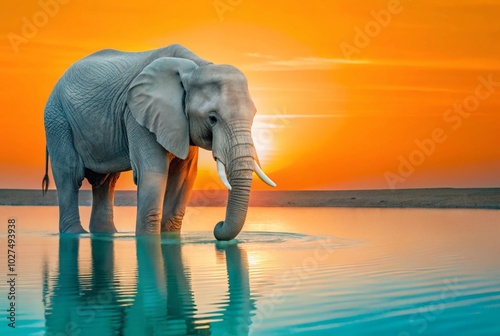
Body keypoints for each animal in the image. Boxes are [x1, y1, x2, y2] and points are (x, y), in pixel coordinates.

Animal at [43, 44, 276, 239]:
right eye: (212, 118)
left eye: (254, 116)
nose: (217, 226)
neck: (197, 67)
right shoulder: (137, 115)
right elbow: (153, 171)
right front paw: (147, 239)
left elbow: (184, 177)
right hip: (57, 119)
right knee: (70, 175)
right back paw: (76, 234)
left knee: (106, 182)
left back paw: (106, 234)